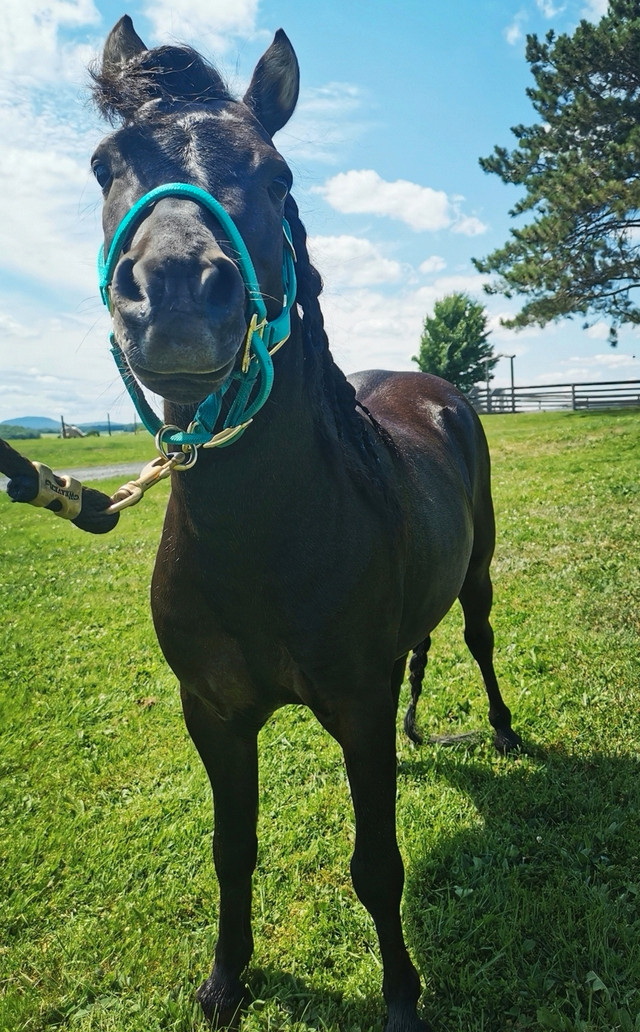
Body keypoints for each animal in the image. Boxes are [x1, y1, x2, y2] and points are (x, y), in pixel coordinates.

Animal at [88, 18, 520, 1032]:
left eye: (278, 175)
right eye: (102, 166)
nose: (176, 296)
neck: (261, 544)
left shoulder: (356, 708)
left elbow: (378, 867)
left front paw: (400, 998)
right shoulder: (211, 714)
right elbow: (230, 852)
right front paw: (225, 981)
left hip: (479, 571)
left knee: (478, 642)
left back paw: (504, 732)